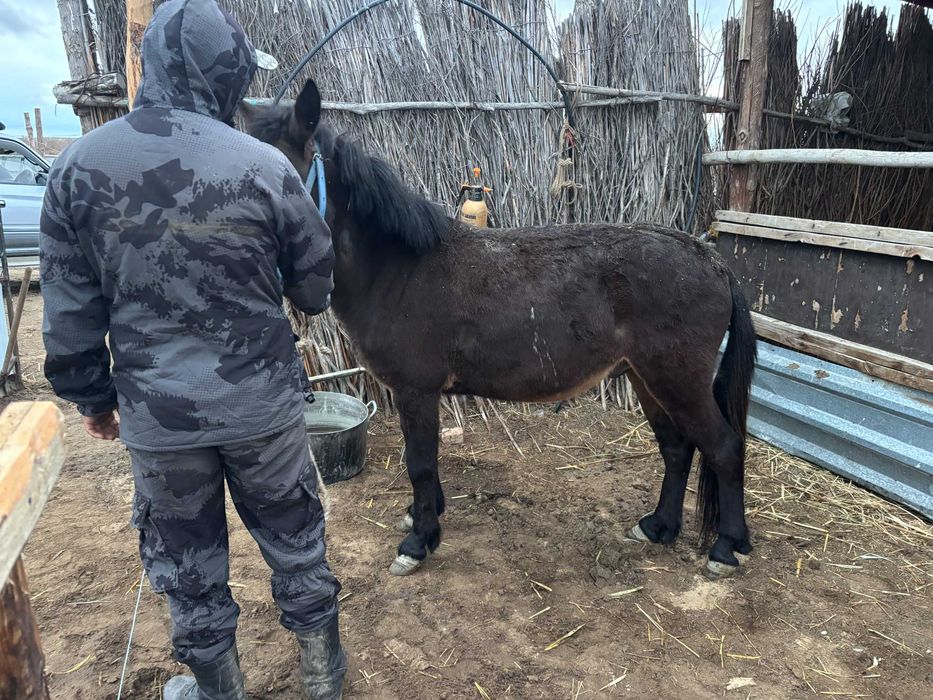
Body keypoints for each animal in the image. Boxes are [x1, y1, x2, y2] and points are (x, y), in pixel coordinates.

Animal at [241, 79, 757, 579]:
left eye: (282, 177)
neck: (401, 268)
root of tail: (713, 262)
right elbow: (425, 464)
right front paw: (423, 517)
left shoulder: (416, 390)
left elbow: (420, 464)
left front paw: (418, 542)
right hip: (645, 377)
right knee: (677, 447)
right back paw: (658, 526)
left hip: (677, 379)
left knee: (723, 447)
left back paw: (725, 548)